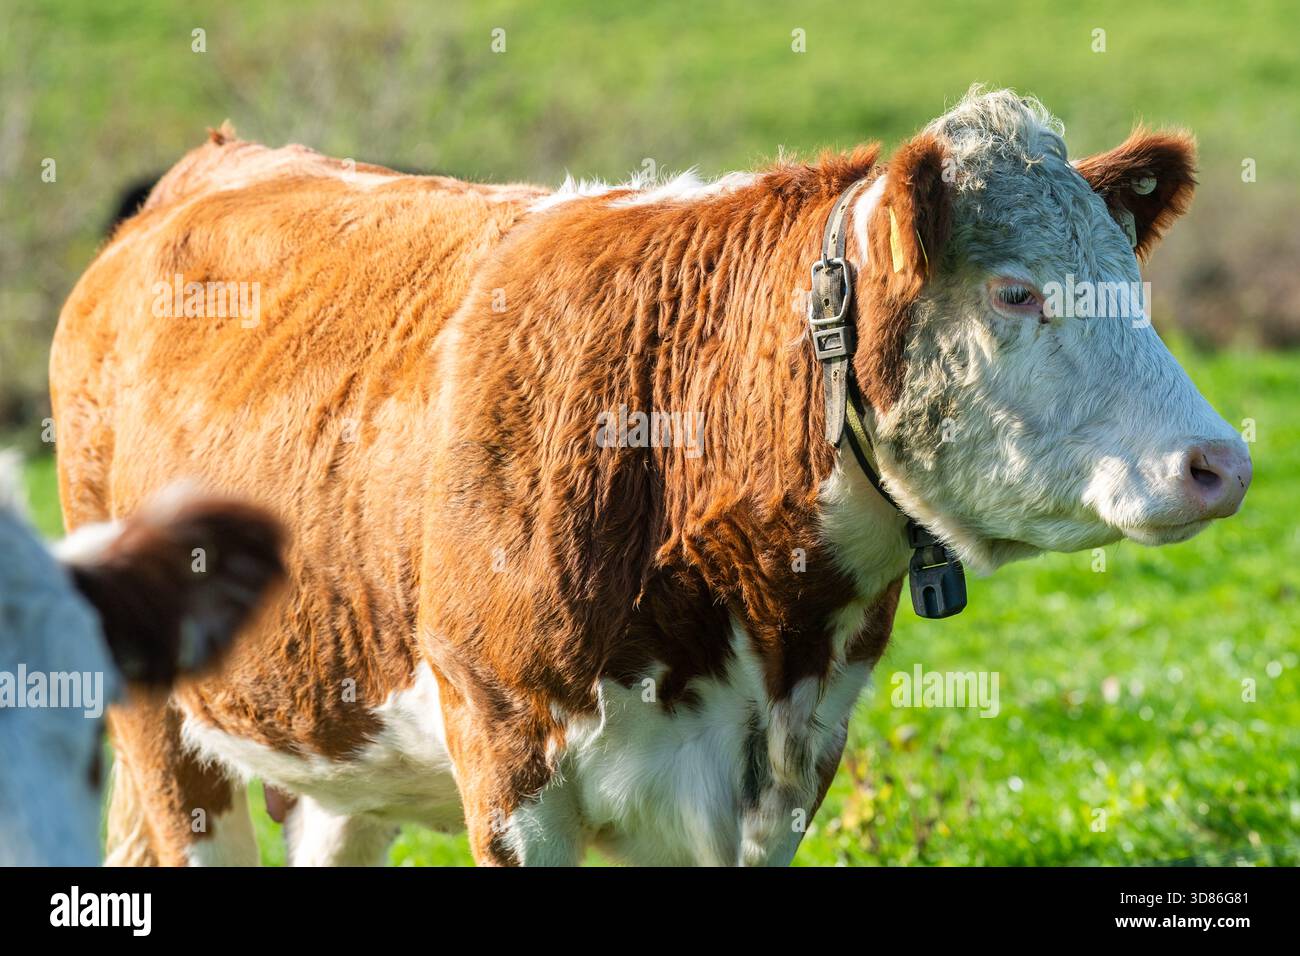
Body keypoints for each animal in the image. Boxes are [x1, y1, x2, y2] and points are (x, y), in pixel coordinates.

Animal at [48, 88, 1251, 866]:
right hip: (165, 726)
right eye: (1013, 292)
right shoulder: (506, 750)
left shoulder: (783, 772)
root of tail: (209, 165)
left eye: (1128, 279)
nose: (1222, 461)